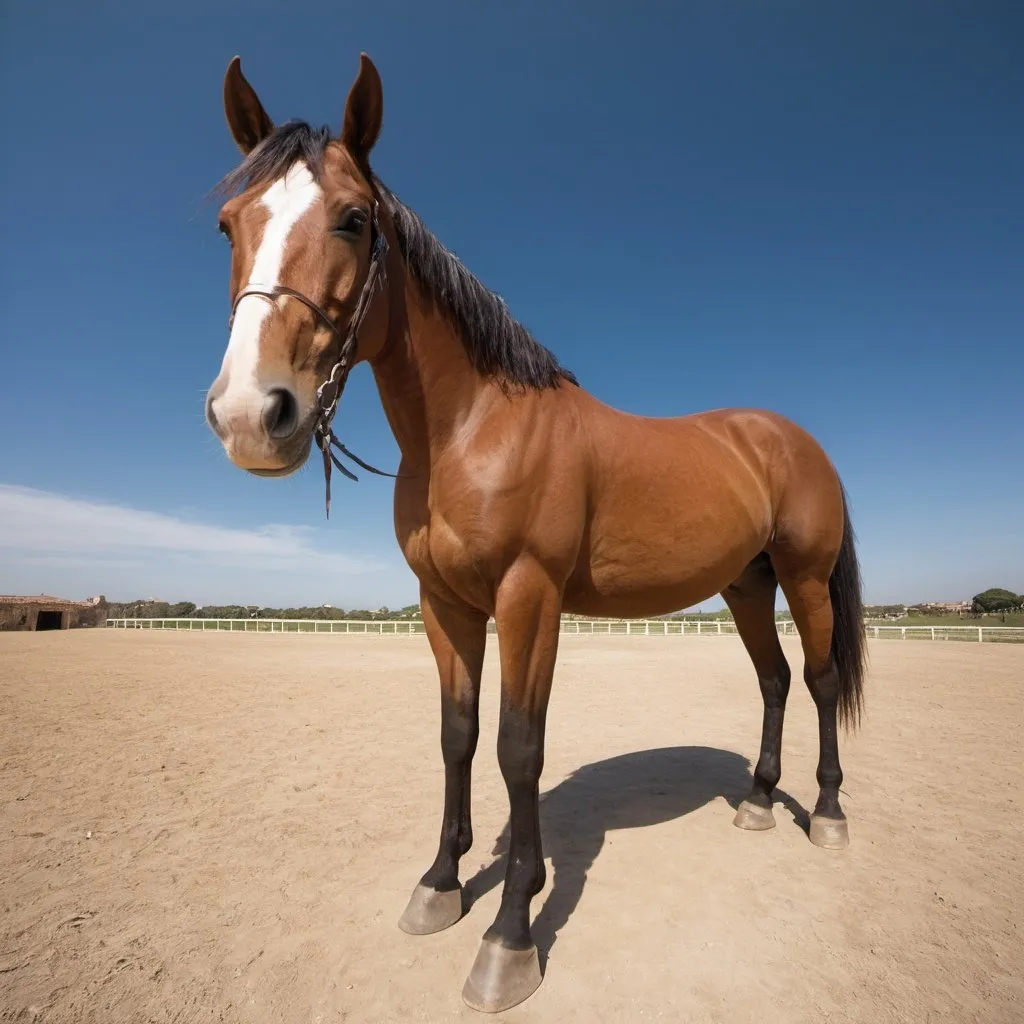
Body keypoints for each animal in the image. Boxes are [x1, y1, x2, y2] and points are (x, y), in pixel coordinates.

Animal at [203, 54, 868, 1007]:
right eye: (229, 224)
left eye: (354, 219)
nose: (252, 415)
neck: (475, 426)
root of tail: (790, 438)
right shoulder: (444, 604)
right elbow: (459, 736)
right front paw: (441, 884)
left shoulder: (529, 597)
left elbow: (521, 748)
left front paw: (511, 930)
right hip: (746, 586)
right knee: (774, 681)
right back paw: (755, 799)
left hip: (805, 579)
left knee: (817, 680)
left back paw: (830, 812)